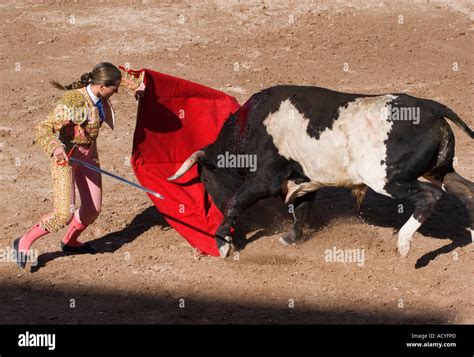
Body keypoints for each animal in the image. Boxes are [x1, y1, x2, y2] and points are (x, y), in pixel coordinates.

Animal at [169, 85, 474, 258]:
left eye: (205, 179)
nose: (214, 206)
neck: (249, 128)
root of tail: (432, 108)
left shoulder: (264, 179)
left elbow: (237, 202)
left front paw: (222, 244)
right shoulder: (304, 180)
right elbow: (301, 211)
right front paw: (290, 239)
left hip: (387, 179)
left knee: (429, 197)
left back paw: (403, 244)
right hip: (439, 170)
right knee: (464, 190)